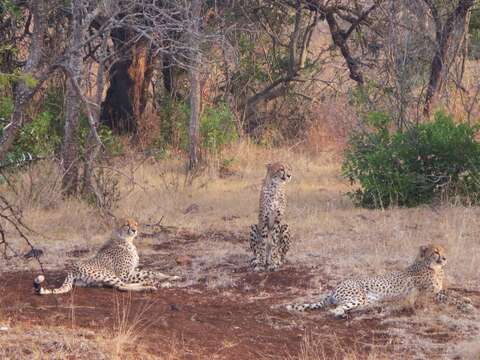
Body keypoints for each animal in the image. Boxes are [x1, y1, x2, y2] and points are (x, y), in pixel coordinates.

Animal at [33, 218, 180, 294]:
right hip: (108, 274)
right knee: (122, 286)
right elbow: (144, 276)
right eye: (126, 224)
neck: (127, 241)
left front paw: (172, 277)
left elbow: (152, 272)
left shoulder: (132, 270)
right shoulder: (124, 274)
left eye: (135, 224)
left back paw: (152, 284)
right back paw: (148, 286)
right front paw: (161, 281)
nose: (134, 230)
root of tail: (71, 268)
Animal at [286, 245, 456, 318]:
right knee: (335, 309)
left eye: (443, 250)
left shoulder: (435, 291)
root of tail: (335, 287)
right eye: (436, 252)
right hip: (358, 297)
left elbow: (450, 294)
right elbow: (451, 297)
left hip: (366, 300)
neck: (432, 266)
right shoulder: (429, 293)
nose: (445, 258)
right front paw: (461, 304)